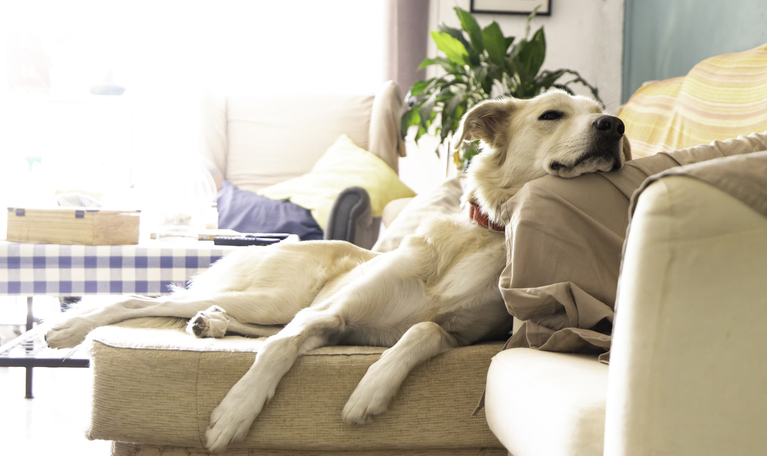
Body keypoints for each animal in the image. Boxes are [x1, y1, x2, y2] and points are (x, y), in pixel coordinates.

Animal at [45, 89, 632, 452]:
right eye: (551, 115)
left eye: (599, 111)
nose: (614, 125)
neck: (480, 237)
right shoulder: (330, 315)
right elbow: (277, 352)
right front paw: (234, 414)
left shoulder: (457, 335)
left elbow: (421, 329)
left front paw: (370, 390)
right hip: (277, 297)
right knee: (144, 302)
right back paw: (68, 329)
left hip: (275, 305)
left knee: (230, 319)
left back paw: (209, 323)